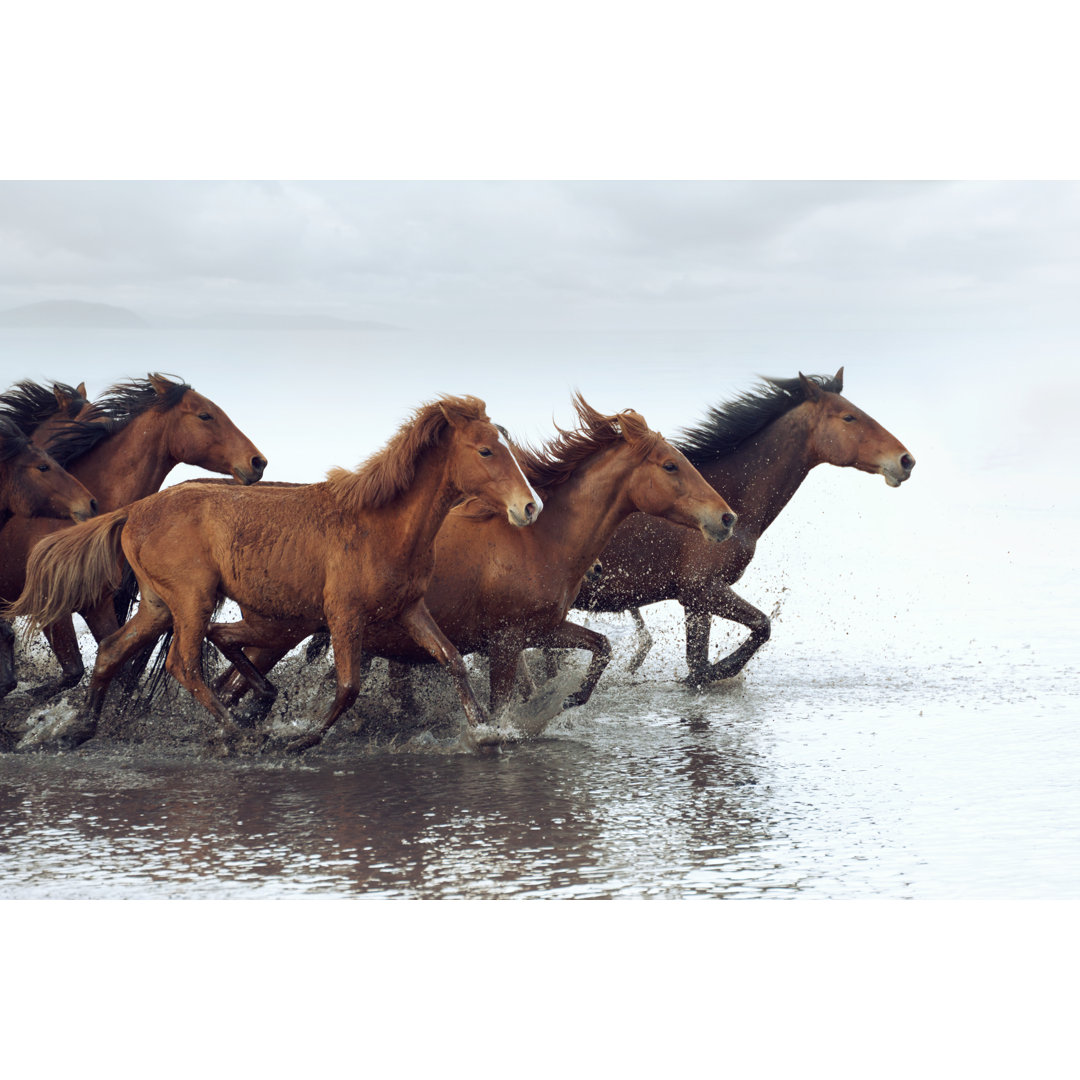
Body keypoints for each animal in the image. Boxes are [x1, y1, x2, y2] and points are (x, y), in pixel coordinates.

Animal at [205, 393, 734, 721]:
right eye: (671, 465)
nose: (726, 518)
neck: (542, 540)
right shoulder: (504, 642)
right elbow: (500, 705)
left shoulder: (540, 629)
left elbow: (600, 647)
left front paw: (570, 700)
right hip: (278, 631)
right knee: (226, 677)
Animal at [570, 367, 915, 678]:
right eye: (848, 417)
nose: (905, 460)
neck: (728, 498)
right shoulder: (702, 590)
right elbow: (760, 627)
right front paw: (722, 670)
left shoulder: (696, 603)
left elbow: (700, 660)